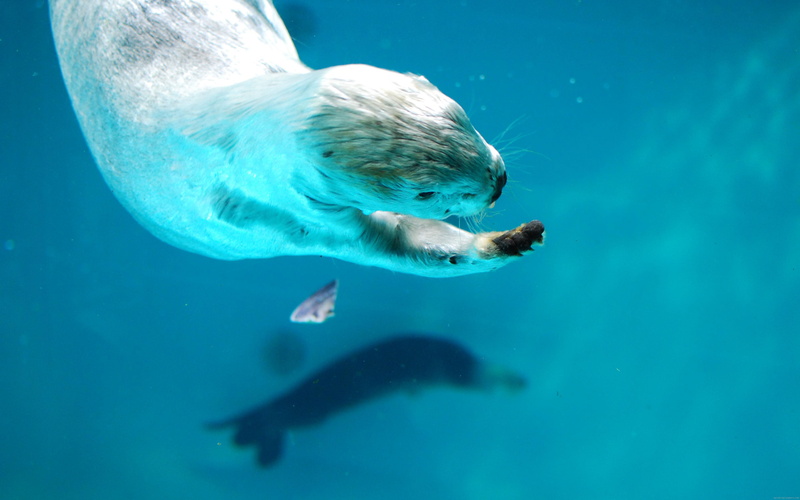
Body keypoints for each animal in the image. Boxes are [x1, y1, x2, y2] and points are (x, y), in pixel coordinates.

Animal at [50, 0, 544, 277]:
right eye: (424, 193)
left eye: (460, 114)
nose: (498, 181)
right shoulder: (285, 214)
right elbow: (399, 248)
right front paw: (507, 241)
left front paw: (515, 237)